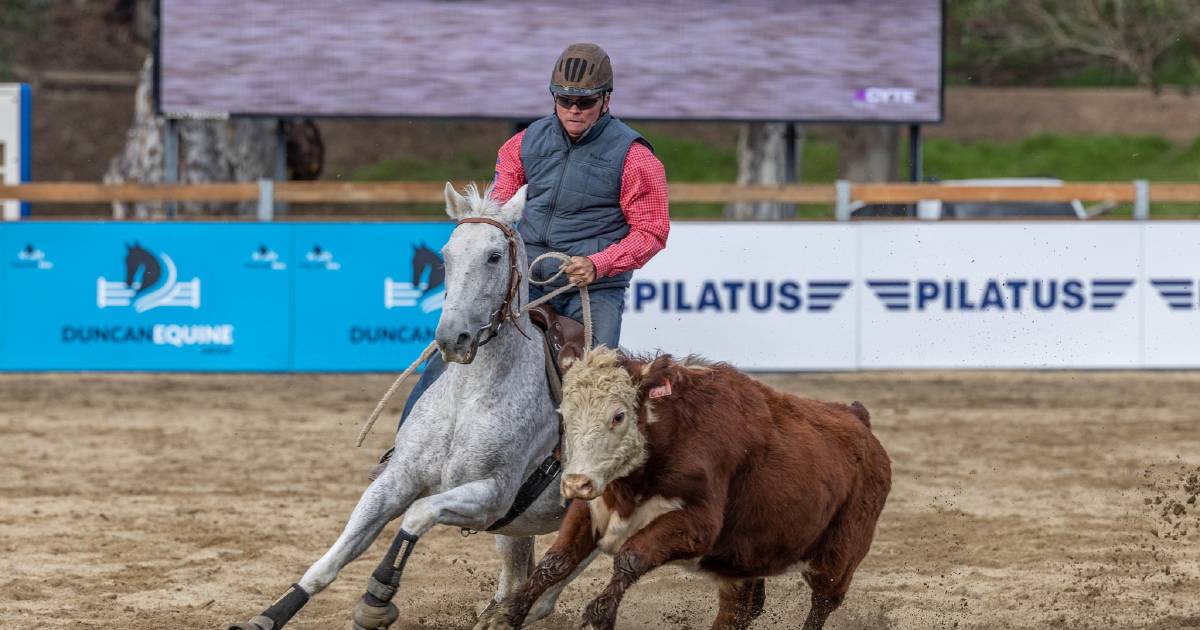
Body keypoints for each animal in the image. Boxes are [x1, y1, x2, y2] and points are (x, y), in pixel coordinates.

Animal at [228, 180, 595, 624]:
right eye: (446, 254)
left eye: (494, 256)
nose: (452, 337)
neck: (469, 398)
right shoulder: (398, 478)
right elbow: (332, 559)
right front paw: (270, 615)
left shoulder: (492, 495)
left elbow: (417, 515)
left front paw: (377, 598)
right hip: (517, 530)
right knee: (516, 577)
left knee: (550, 586)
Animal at [475, 345, 892, 628]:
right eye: (564, 415)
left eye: (618, 415)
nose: (575, 482)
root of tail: (856, 418)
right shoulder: (591, 507)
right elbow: (556, 562)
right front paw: (506, 613)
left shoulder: (697, 525)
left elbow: (630, 557)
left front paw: (598, 614)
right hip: (743, 563)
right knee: (740, 610)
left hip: (837, 559)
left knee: (821, 604)